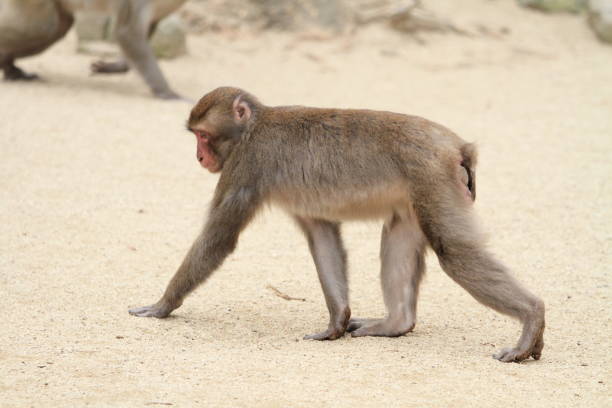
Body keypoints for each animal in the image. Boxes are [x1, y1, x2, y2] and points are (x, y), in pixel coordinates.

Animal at [0, 0, 186, 99]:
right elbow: (127, 32)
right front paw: (167, 92)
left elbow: (141, 32)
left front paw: (112, 67)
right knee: (45, 28)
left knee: (59, 26)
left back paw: (11, 69)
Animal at [128, 87, 544, 362]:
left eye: (203, 135)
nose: (199, 157)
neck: (253, 126)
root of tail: (456, 145)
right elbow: (322, 237)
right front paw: (336, 323)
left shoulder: (246, 164)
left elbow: (219, 239)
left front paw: (163, 305)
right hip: (417, 192)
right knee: (398, 235)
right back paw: (395, 323)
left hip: (432, 178)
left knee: (453, 251)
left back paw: (531, 317)